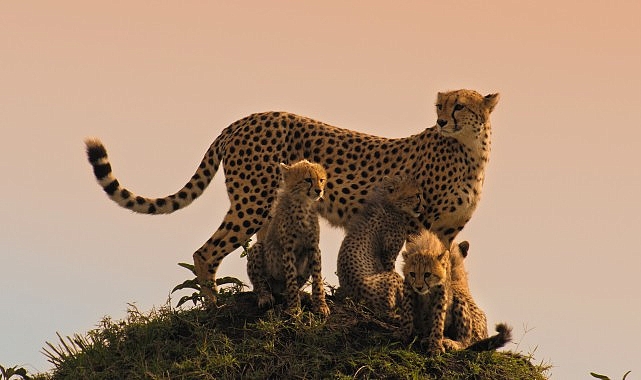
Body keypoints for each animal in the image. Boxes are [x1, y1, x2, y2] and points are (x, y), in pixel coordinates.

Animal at [82, 88, 498, 300]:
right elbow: (413, 269)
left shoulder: (446, 232)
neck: (471, 151)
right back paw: (211, 310)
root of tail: (242, 120)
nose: (442, 120)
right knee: (205, 252)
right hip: (253, 201)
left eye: (459, 106)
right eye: (440, 105)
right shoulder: (417, 223)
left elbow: (445, 273)